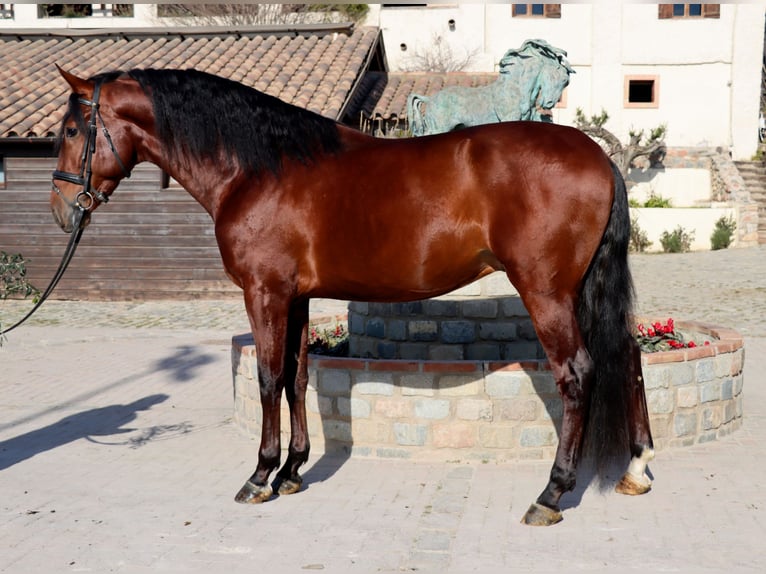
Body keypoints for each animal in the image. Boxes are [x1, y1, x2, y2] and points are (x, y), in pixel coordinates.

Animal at [52, 66, 656, 528]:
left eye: (75, 128)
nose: (62, 210)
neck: (258, 168)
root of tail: (599, 157)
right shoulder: (295, 297)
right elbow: (296, 376)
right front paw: (293, 472)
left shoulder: (265, 293)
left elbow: (268, 378)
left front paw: (260, 476)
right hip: (582, 289)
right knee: (627, 357)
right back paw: (636, 467)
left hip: (546, 291)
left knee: (578, 374)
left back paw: (550, 494)